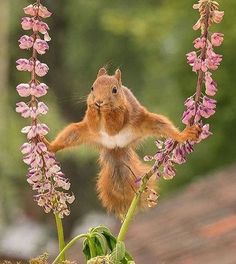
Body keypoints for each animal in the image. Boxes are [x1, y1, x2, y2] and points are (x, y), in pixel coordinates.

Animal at [43, 68, 200, 217]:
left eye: (114, 90)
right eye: (92, 88)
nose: (99, 102)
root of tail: (116, 147)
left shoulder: (125, 112)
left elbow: (114, 125)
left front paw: (106, 110)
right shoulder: (91, 127)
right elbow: (93, 123)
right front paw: (93, 108)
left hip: (149, 122)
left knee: (165, 127)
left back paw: (184, 135)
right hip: (76, 132)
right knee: (66, 137)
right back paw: (48, 145)